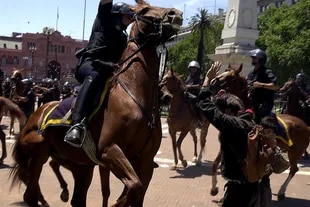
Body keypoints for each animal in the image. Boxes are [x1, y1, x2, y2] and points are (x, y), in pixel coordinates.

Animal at [9, 0, 184, 206]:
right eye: (145, 9)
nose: (176, 13)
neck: (135, 96)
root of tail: (34, 117)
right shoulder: (109, 151)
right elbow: (133, 188)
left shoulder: (145, 162)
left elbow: (135, 191)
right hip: (37, 157)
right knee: (31, 193)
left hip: (80, 165)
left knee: (74, 197)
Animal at [208, 64, 310, 201]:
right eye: (224, 71)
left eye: (231, 77)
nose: (213, 81)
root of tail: (305, 125)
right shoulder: (225, 146)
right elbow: (214, 164)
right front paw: (214, 189)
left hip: (295, 152)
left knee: (293, 169)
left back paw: (281, 191)